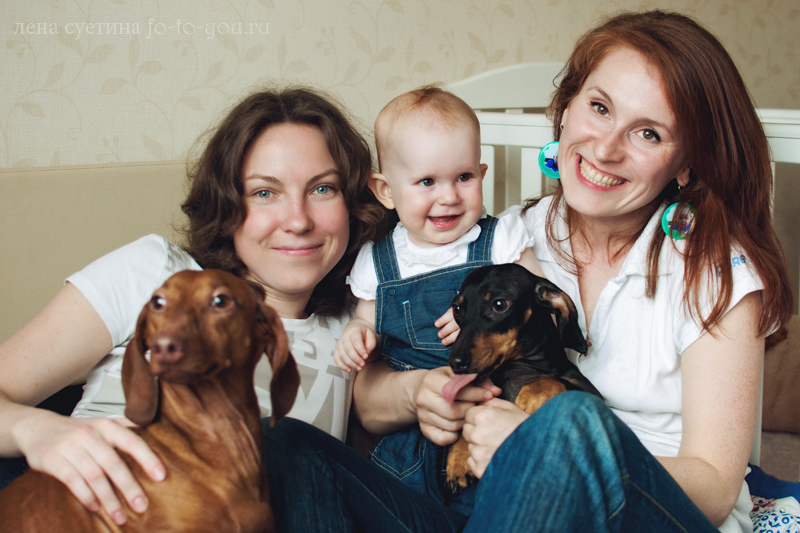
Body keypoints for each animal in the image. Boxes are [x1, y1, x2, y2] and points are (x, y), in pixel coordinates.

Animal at [442, 263, 601, 494]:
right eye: (457, 309)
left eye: (499, 304)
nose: (455, 362)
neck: (518, 367)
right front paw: (458, 459)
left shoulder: (594, 394)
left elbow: (556, 380)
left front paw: (533, 394)